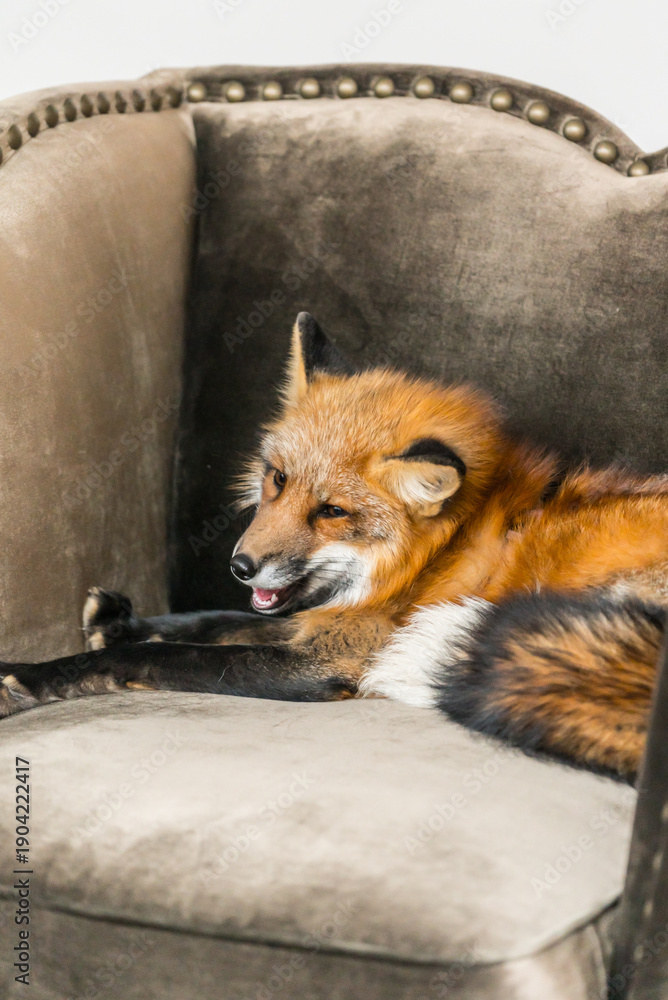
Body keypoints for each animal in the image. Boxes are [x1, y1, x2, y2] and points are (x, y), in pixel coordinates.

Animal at [1, 311, 667, 783]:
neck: (434, 558)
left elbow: (164, 657)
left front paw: (30, 678)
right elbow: (205, 621)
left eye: (332, 512)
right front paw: (119, 623)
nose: (240, 565)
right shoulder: (318, 622)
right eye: (278, 479)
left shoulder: (333, 660)